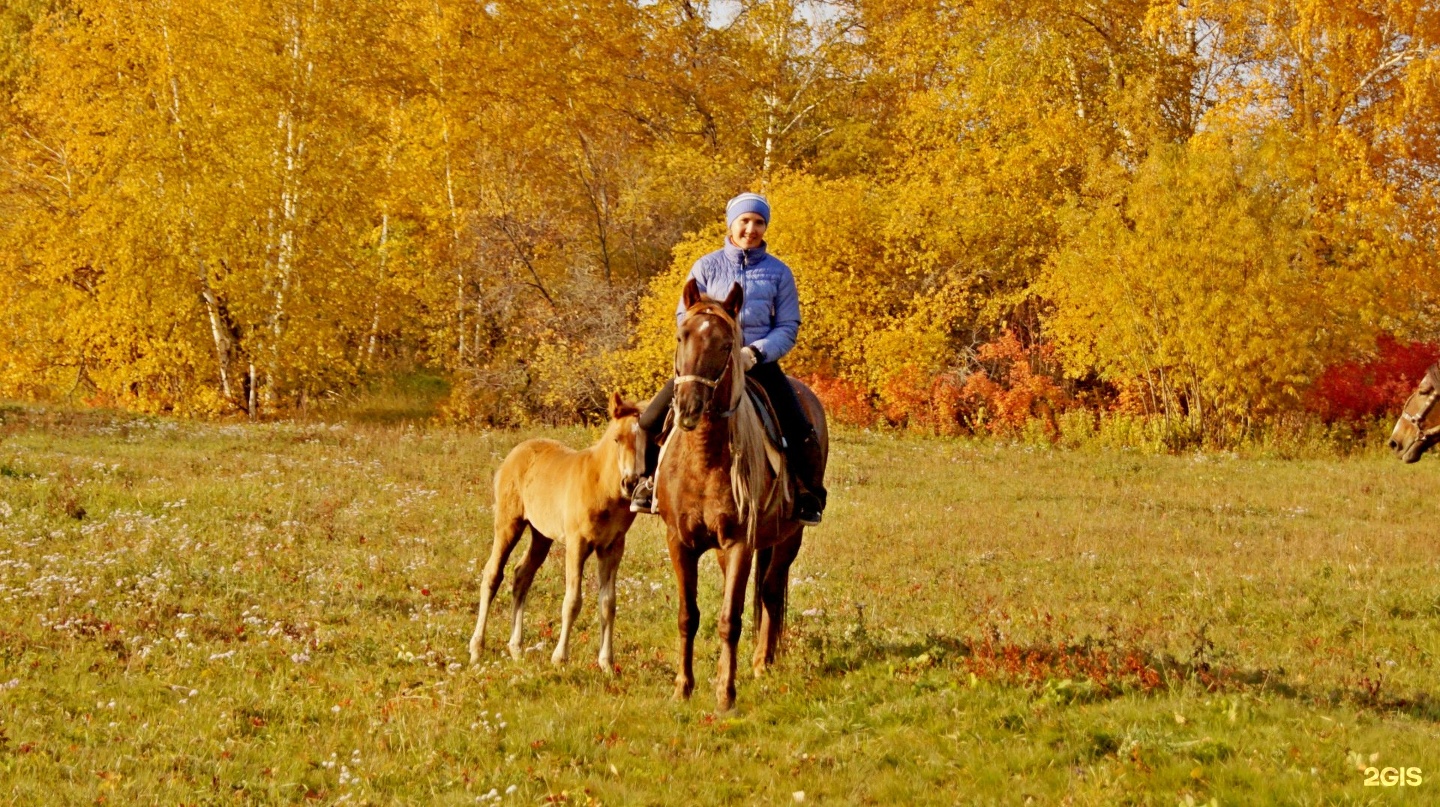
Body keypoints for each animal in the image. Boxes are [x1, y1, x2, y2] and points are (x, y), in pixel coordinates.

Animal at [469, 394, 645, 671]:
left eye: (647, 439)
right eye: (617, 438)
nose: (630, 483)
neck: (602, 486)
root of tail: (513, 455)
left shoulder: (613, 546)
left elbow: (608, 603)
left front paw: (607, 664)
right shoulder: (577, 543)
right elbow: (572, 601)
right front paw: (560, 658)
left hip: (541, 535)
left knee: (522, 575)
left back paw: (516, 649)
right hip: (508, 523)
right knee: (492, 574)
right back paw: (476, 650)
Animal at [659, 281, 829, 709]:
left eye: (726, 345)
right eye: (682, 336)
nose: (688, 406)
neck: (704, 458)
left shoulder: (739, 543)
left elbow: (729, 619)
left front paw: (725, 692)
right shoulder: (679, 542)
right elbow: (688, 615)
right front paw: (683, 687)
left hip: (790, 536)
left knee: (769, 591)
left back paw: (762, 662)